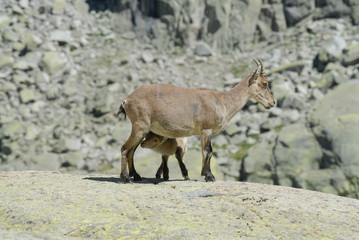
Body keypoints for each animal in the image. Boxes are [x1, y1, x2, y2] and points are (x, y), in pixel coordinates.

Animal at [118, 58, 276, 182]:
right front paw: (209, 176)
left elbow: (208, 152)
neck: (223, 101)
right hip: (140, 126)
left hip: (142, 130)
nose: (272, 103)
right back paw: (126, 178)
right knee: (125, 148)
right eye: (264, 83)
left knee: (132, 150)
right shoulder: (206, 130)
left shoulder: (204, 132)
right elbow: (208, 151)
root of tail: (127, 100)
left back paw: (136, 176)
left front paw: (206, 174)